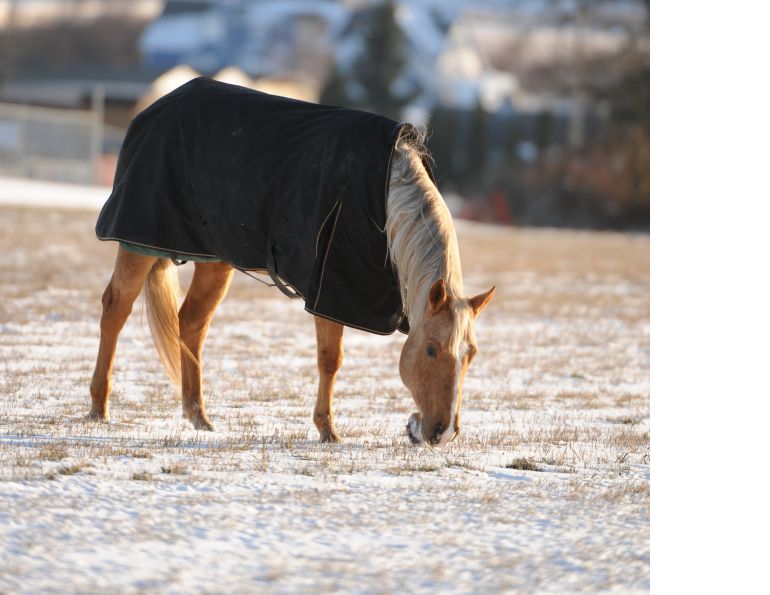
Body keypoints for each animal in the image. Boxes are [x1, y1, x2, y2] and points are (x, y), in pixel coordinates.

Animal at [88, 79, 494, 446]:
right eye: (431, 349)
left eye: (471, 354)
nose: (443, 433)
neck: (384, 199)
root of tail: (157, 107)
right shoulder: (331, 290)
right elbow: (331, 359)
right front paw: (327, 429)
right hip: (138, 241)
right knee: (116, 309)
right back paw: (99, 407)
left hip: (215, 259)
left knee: (190, 323)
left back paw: (198, 415)